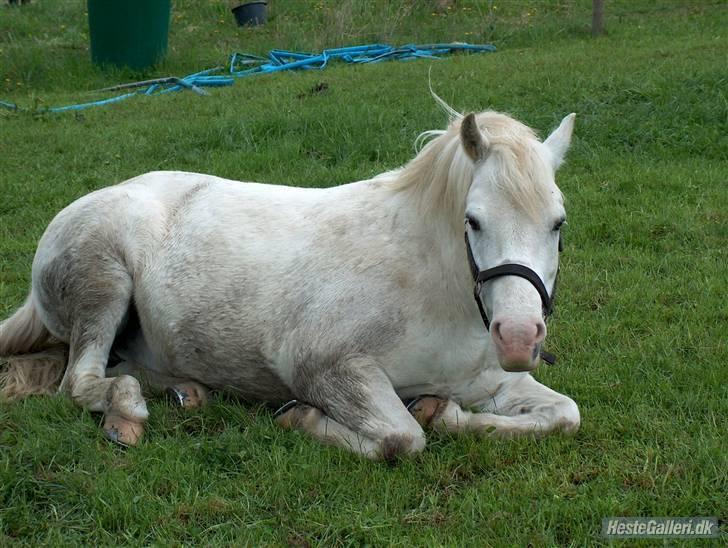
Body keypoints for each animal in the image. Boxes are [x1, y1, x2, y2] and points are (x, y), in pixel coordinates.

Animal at [0, 106, 580, 458]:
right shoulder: (325, 369)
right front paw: (300, 418)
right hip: (104, 283)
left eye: (558, 223)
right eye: (473, 221)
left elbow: (564, 416)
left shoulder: (485, 381)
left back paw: (185, 391)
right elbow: (402, 438)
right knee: (79, 381)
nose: (519, 338)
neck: (431, 289)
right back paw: (126, 409)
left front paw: (443, 412)